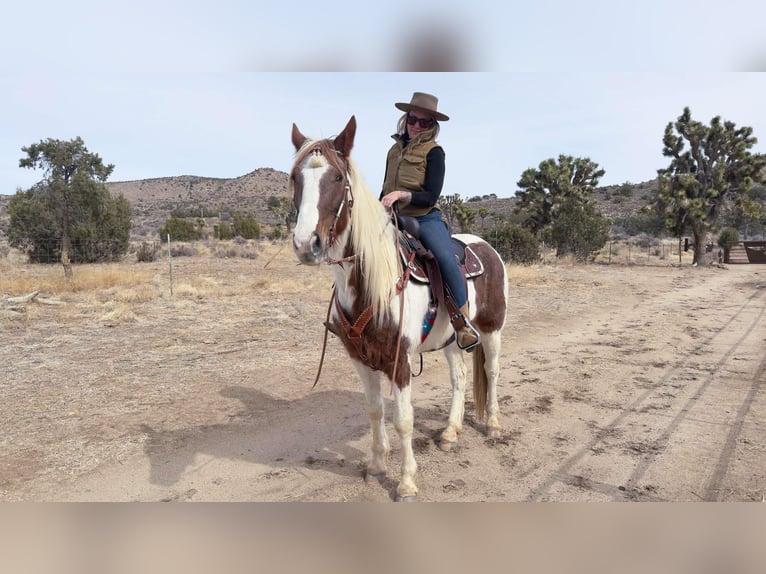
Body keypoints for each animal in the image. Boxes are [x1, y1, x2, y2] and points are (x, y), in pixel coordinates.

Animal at [290, 116, 510, 500]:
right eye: (294, 178)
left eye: (337, 178)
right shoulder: (360, 359)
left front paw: (407, 482)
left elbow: (403, 420)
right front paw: (378, 466)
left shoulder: (401, 362)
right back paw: (450, 432)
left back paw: (494, 425)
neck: (371, 286)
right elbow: (376, 411)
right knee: (460, 377)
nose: (306, 244)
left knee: (492, 370)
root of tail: (486, 247)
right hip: (453, 338)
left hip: (491, 328)